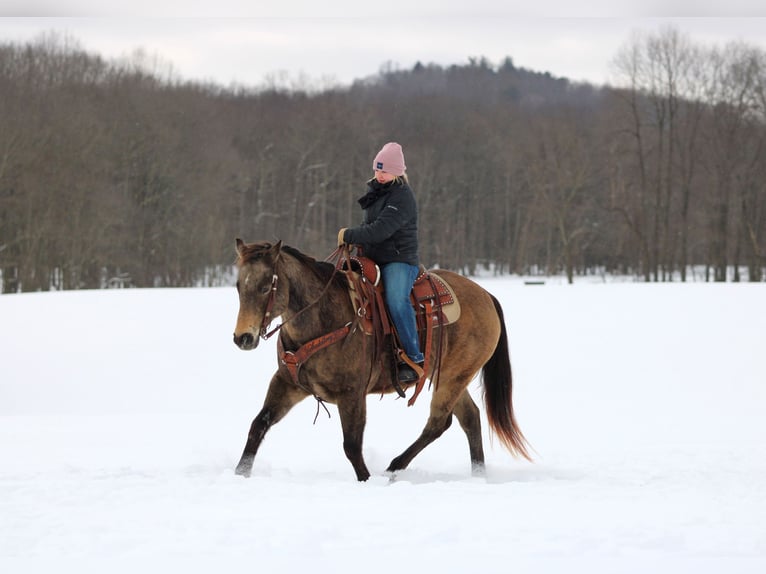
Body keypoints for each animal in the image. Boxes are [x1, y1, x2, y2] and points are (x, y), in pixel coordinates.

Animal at [232, 239, 531, 481]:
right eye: (237, 286)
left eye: (264, 287)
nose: (242, 337)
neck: (323, 319)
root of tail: (486, 296)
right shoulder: (287, 384)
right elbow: (258, 425)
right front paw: (239, 473)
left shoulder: (352, 394)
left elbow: (352, 446)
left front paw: (366, 479)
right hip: (448, 377)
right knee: (469, 418)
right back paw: (478, 475)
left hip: (453, 378)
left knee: (438, 423)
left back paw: (394, 467)